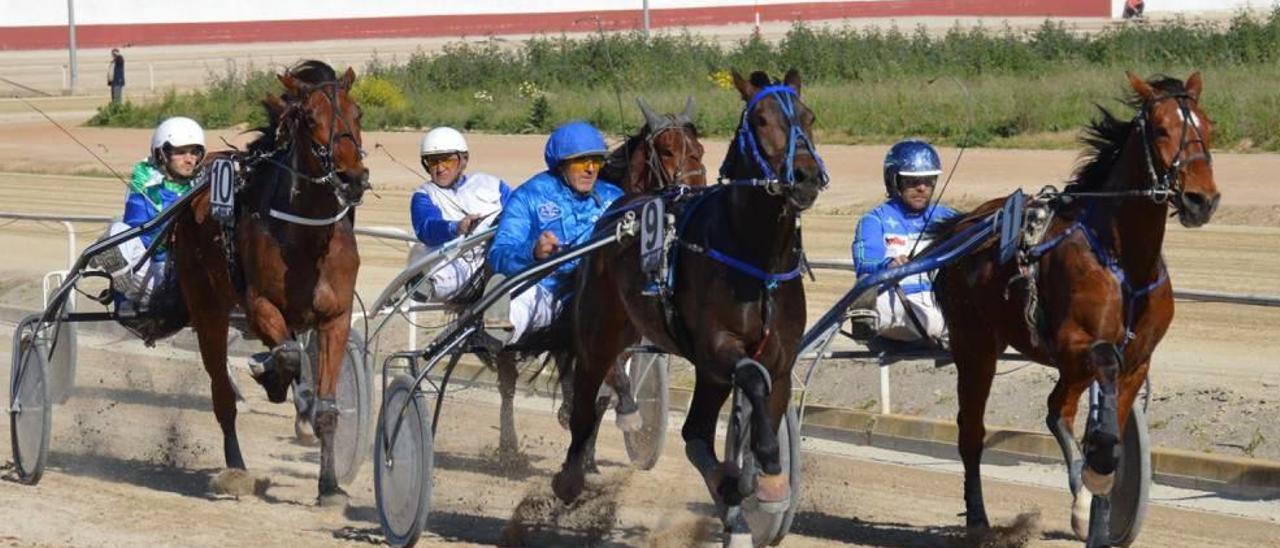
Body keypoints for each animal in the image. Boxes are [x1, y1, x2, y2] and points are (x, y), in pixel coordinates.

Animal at [171, 59, 371, 504]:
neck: (307, 236)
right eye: (311, 118)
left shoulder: (334, 317)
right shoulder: (259, 305)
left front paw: (329, 486)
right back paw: (236, 468)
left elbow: (327, 407)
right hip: (207, 309)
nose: (351, 177)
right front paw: (274, 379)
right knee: (223, 395)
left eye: (358, 113)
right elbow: (288, 355)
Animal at [555, 69, 824, 542]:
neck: (759, 260)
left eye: (808, 116)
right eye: (760, 120)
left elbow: (764, 396)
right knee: (587, 401)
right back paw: (572, 475)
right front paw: (762, 471)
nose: (806, 176)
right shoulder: (717, 348)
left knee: (694, 431)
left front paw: (762, 482)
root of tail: (617, 212)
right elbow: (751, 379)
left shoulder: (780, 355)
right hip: (599, 333)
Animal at [931, 71, 1218, 540]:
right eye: (1161, 129)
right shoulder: (1076, 345)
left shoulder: (1137, 361)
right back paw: (978, 519)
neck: (1125, 260)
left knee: (1057, 409)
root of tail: (964, 224)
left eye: (1207, 125)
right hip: (975, 346)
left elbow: (1110, 426)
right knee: (975, 430)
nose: (1201, 199)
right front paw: (1091, 485)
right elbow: (1089, 410)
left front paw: (1099, 506)